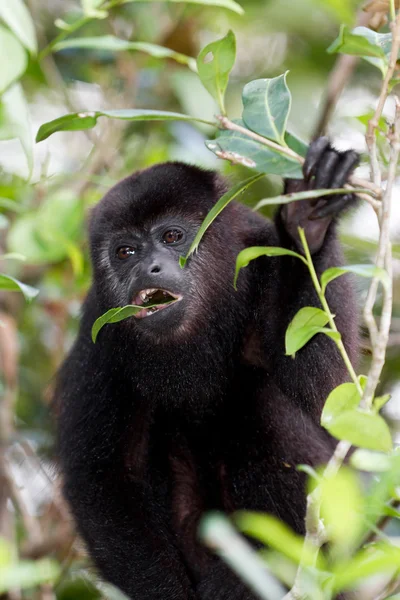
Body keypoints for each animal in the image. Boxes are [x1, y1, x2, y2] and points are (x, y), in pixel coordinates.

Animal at [55, 138, 360, 596]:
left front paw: (307, 222)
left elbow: (329, 404)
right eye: (126, 251)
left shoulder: (260, 255)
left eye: (172, 236)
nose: (148, 267)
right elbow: (102, 477)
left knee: (258, 402)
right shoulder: (100, 334)